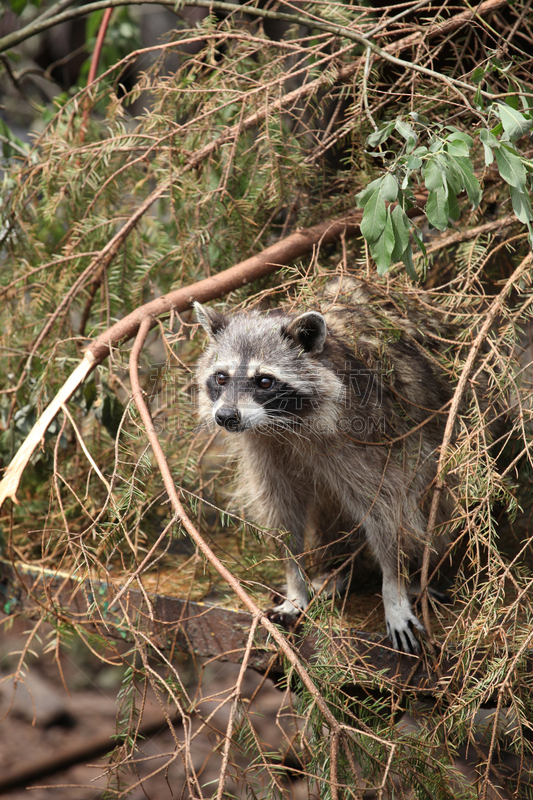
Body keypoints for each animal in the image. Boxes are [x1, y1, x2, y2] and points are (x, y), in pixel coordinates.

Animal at [194, 276, 486, 648]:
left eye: (264, 381)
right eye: (221, 377)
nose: (226, 417)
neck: (283, 424)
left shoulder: (369, 436)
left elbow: (389, 507)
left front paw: (394, 588)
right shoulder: (265, 448)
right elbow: (281, 510)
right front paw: (295, 581)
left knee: (440, 497)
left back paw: (428, 571)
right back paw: (336, 569)